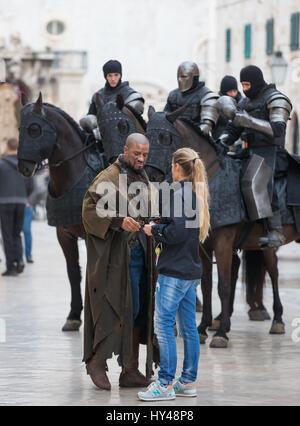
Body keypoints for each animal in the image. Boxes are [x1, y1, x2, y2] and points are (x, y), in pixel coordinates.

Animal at [145, 105, 298, 348]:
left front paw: (221, 334)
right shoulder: (203, 246)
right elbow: (206, 284)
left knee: (273, 272)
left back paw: (277, 319)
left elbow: (223, 286)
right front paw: (203, 328)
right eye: (146, 135)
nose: (150, 176)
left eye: (165, 137)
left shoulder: (224, 243)